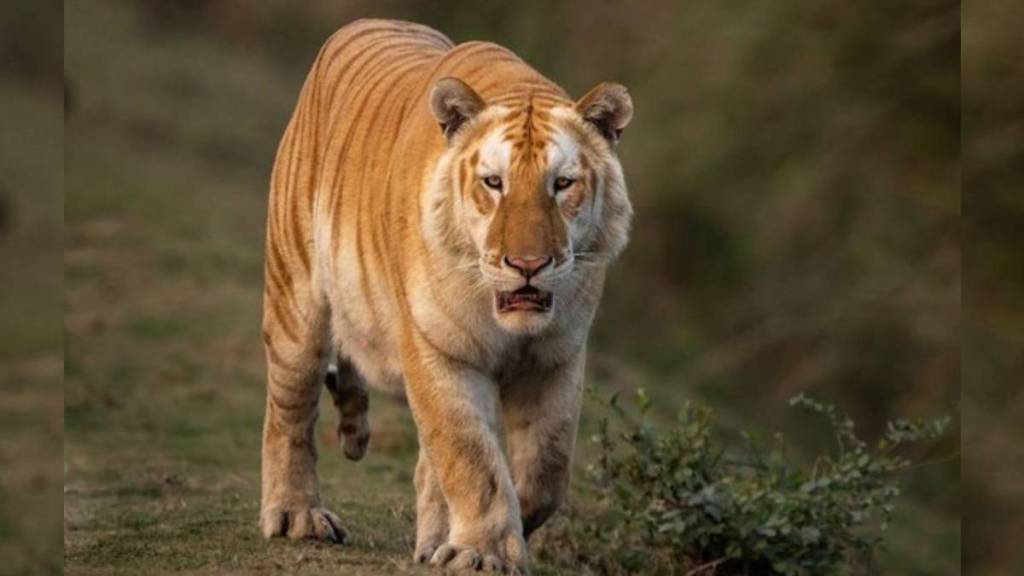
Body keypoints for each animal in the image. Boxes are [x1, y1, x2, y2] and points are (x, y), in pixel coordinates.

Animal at [258, 19, 630, 573]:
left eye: (562, 184)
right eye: (493, 183)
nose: (527, 265)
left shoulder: (556, 357)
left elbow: (545, 470)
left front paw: (475, 540)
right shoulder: (438, 348)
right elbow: (470, 458)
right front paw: (483, 552)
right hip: (295, 301)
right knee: (290, 410)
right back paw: (296, 517)